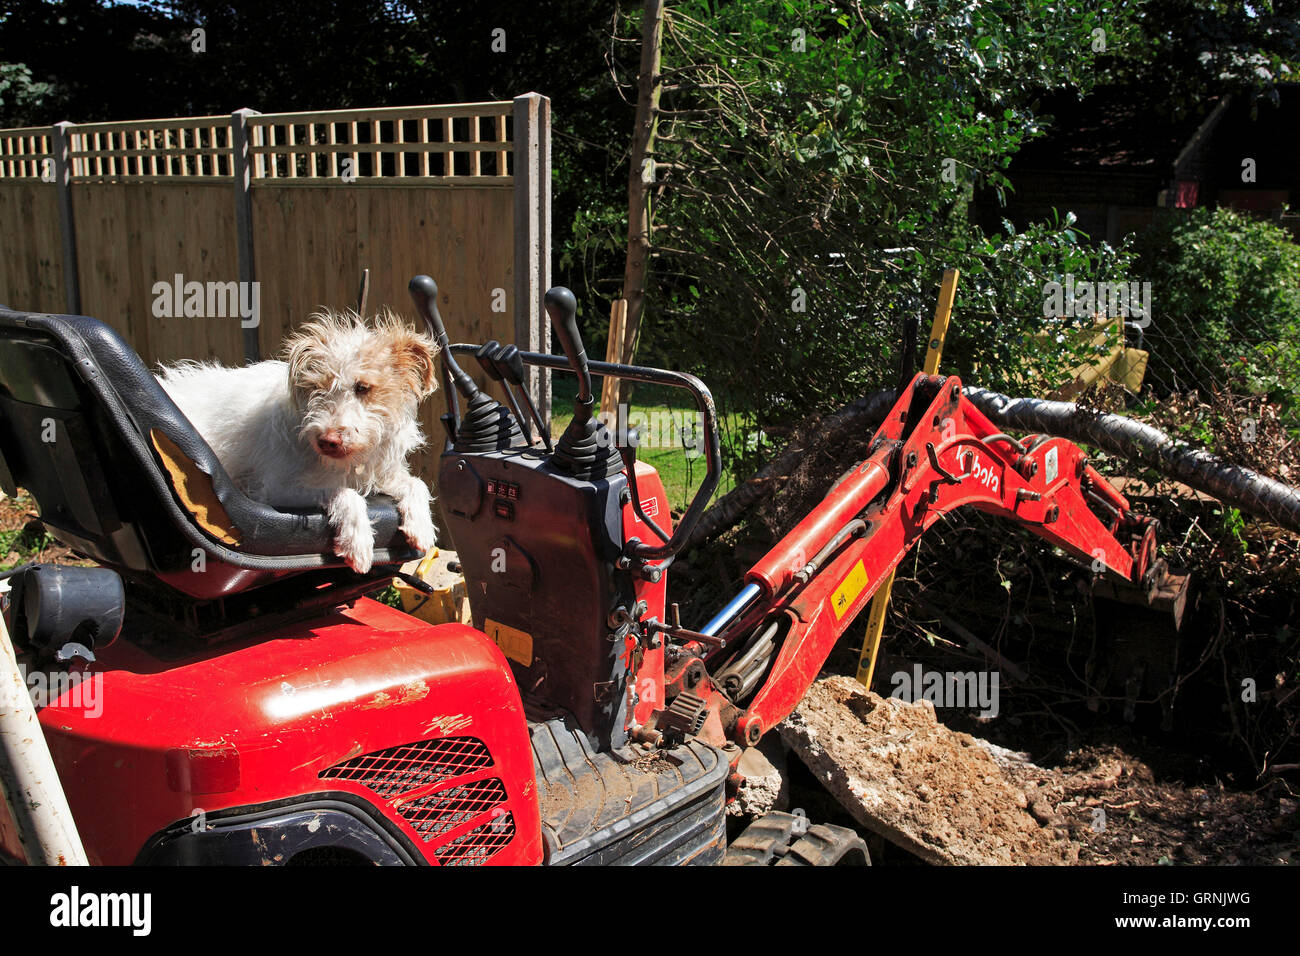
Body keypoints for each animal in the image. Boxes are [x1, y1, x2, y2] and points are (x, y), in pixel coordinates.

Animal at [156, 310, 441, 572]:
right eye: (317, 387)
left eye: (362, 388)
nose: (327, 441)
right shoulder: (274, 490)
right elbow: (343, 492)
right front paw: (356, 539)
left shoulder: (378, 473)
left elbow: (417, 484)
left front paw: (421, 524)